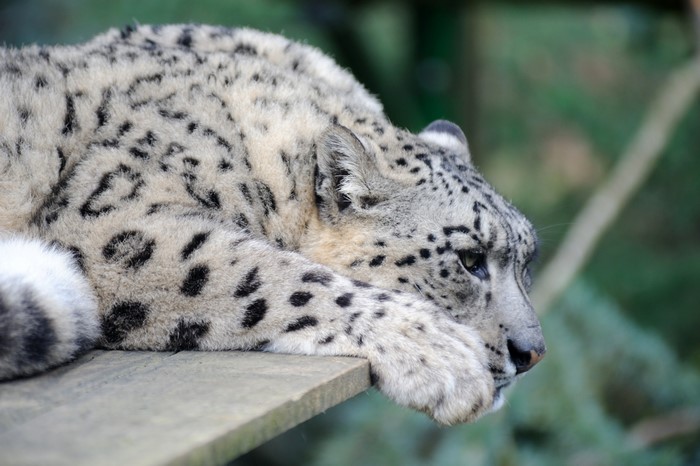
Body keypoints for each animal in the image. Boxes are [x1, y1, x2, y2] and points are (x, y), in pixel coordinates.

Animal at [0, 24, 545, 426]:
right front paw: (438, 353)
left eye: (527, 262)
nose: (533, 353)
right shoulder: (111, 222)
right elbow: (270, 274)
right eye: (469, 259)